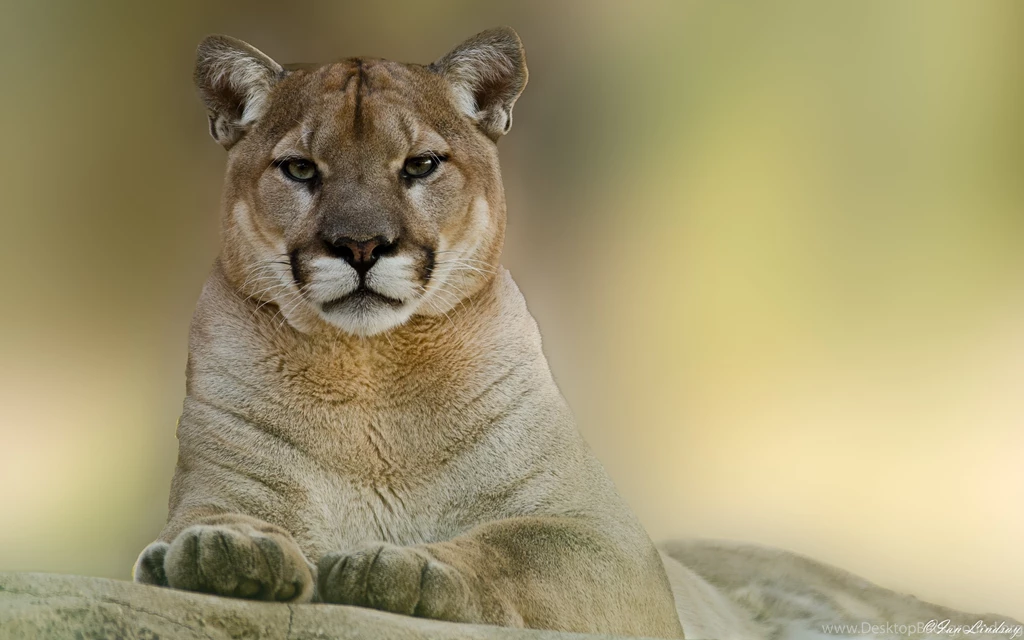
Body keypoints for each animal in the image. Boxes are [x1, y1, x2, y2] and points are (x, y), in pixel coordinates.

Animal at [134, 28, 1021, 640]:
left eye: (419, 165)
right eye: (300, 170)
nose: (359, 246)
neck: (371, 375)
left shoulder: (607, 543)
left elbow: (509, 548)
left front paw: (405, 565)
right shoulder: (219, 489)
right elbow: (209, 526)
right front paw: (222, 555)